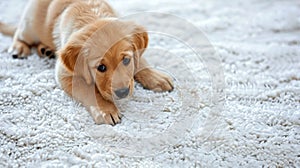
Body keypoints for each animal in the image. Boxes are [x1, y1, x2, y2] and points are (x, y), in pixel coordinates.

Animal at [0, 0, 173, 125]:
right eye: (101, 67)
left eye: (126, 60)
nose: (123, 92)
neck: (93, 16)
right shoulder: (64, 73)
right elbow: (89, 90)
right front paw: (106, 110)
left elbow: (140, 59)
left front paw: (156, 77)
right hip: (30, 27)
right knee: (19, 34)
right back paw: (19, 48)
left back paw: (46, 50)